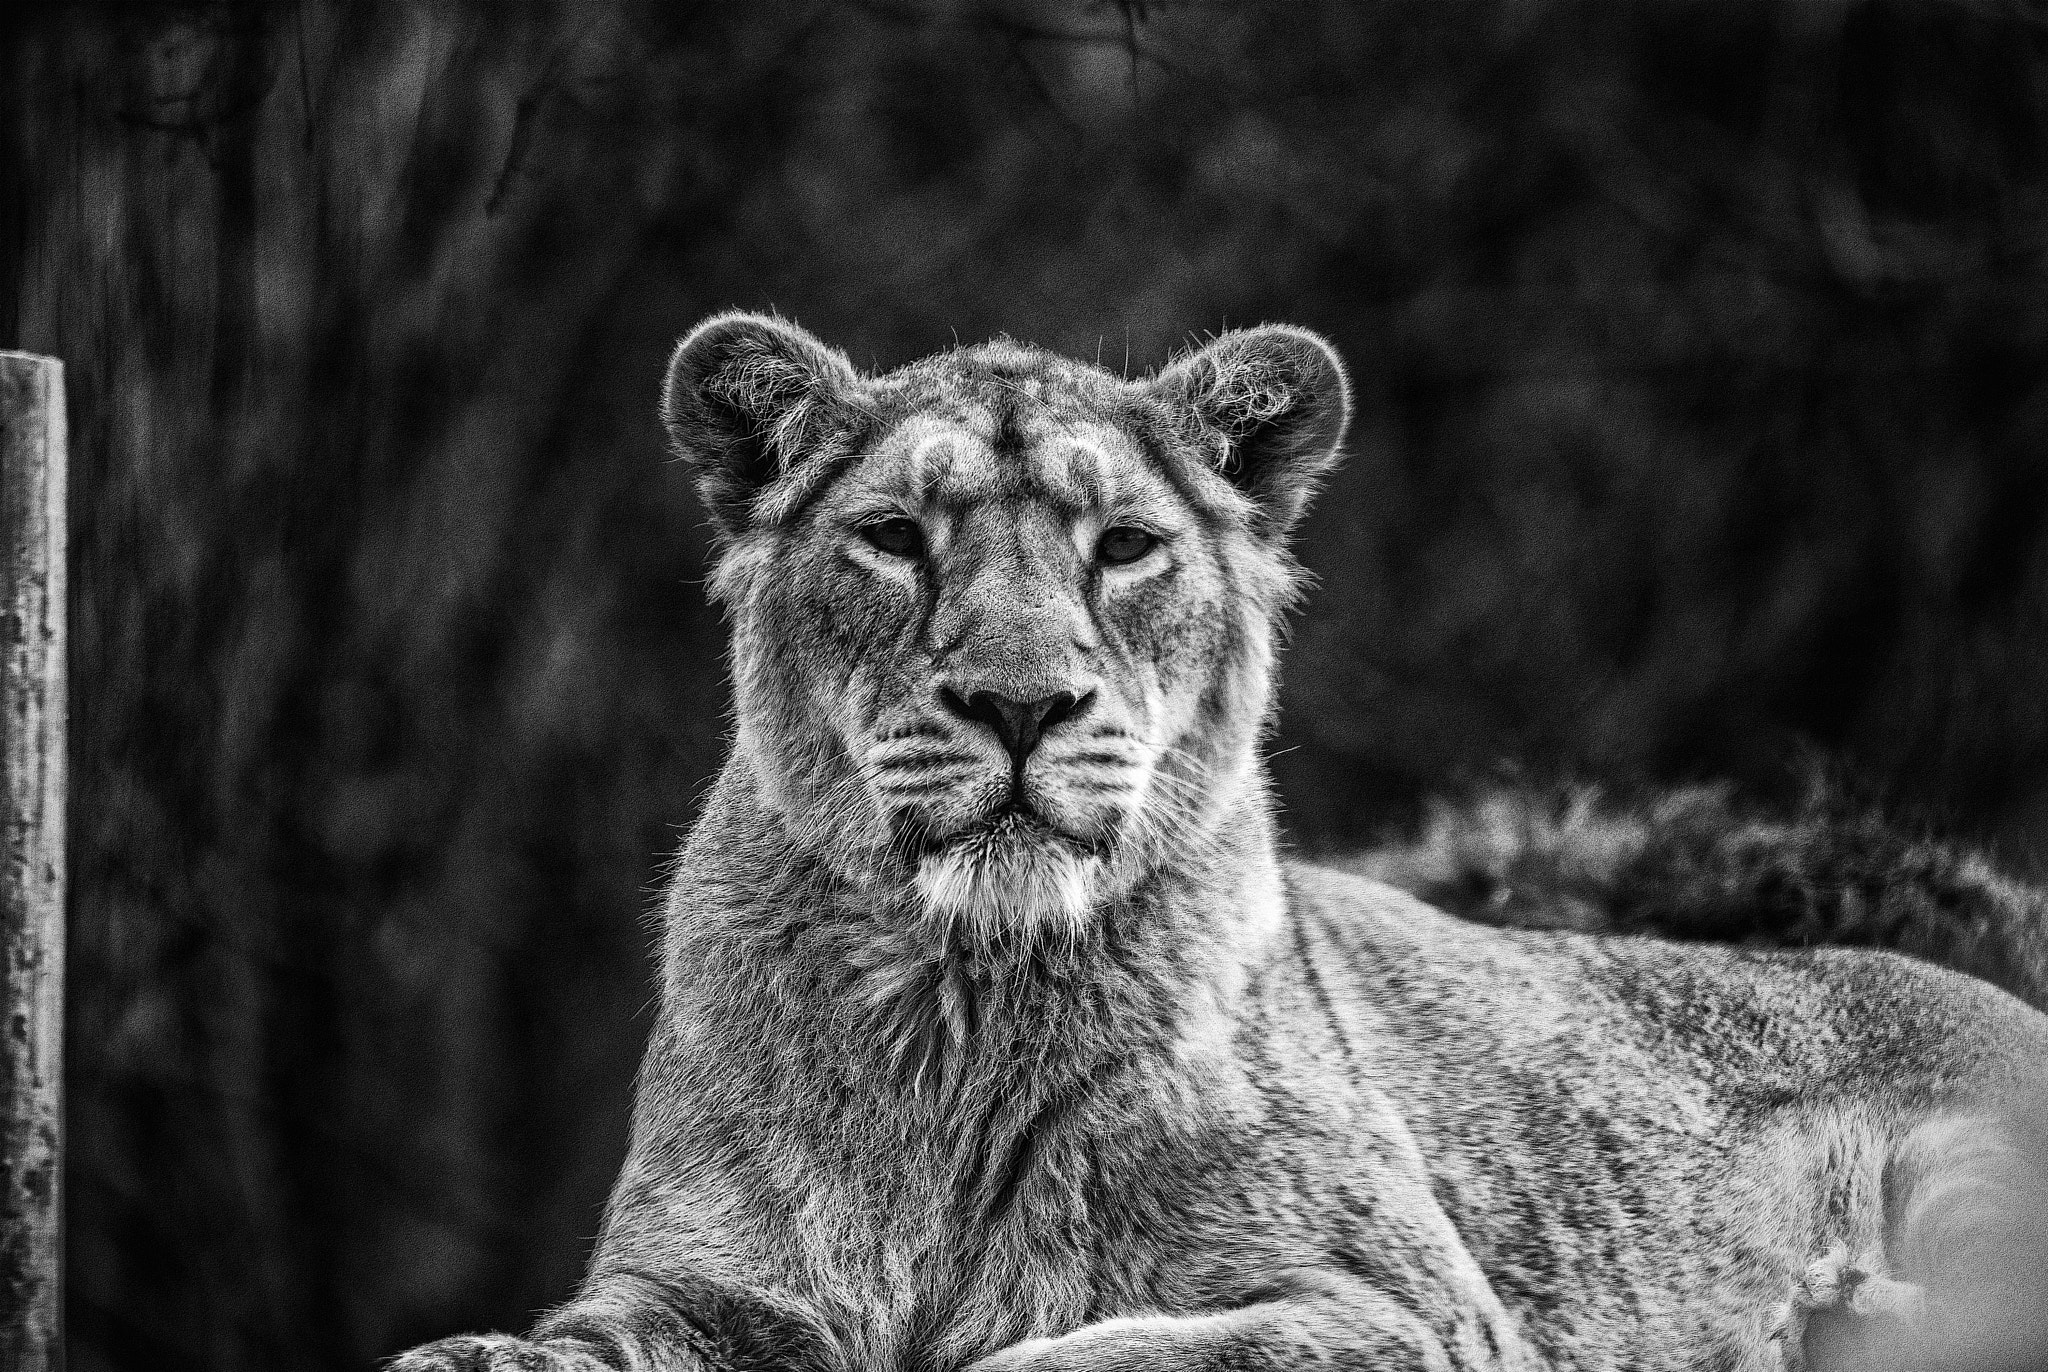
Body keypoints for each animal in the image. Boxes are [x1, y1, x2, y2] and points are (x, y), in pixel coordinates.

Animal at [393, 315, 2048, 1372]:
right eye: (894, 540)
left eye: (1125, 547)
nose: (1020, 704)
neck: (957, 1006)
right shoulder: (697, 1286)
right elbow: (563, 1344)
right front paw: (473, 1355)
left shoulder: (1411, 1317)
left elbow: (1094, 1357)